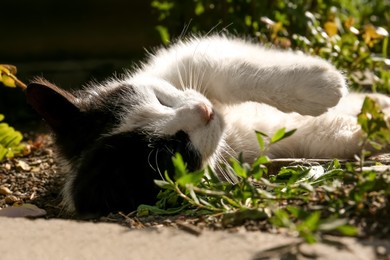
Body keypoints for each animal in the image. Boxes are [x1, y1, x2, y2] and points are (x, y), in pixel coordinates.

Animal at [25, 35, 390, 217]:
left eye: (159, 101)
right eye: (170, 151)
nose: (202, 111)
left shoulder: (185, 58)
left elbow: (222, 67)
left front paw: (317, 85)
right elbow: (326, 134)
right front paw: (375, 130)